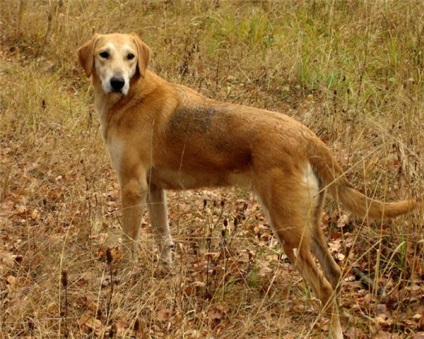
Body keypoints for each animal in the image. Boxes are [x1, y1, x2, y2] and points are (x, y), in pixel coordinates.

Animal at [77, 32, 418, 339]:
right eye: (104, 54)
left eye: (130, 57)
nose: (118, 82)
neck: (132, 97)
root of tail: (307, 136)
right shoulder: (154, 190)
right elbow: (165, 240)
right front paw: (165, 276)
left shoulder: (132, 187)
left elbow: (129, 245)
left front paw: (124, 281)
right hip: (307, 224)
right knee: (333, 275)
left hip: (288, 231)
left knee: (322, 285)